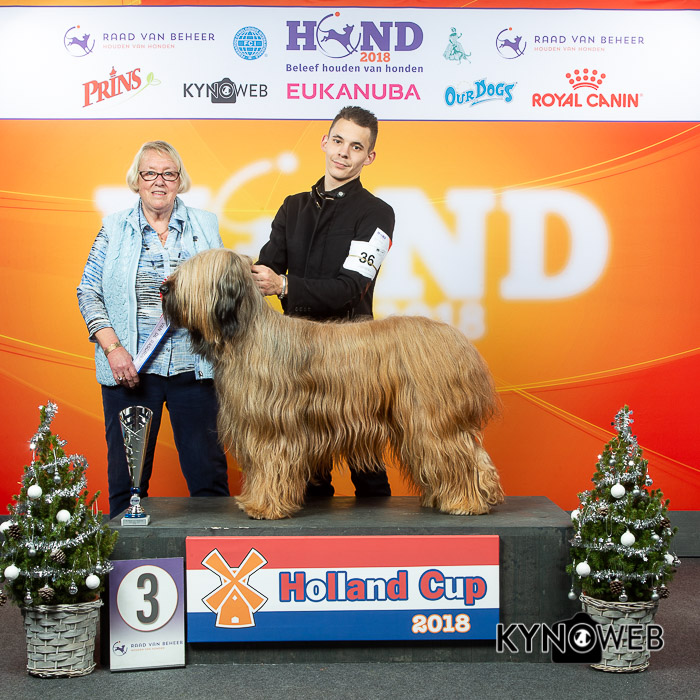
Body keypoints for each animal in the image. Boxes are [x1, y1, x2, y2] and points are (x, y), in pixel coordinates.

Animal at [161, 248, 504, 520]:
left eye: (189, 272)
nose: (163, 288)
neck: (245, 334)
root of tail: (456, 338)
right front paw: (255, 501)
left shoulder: (273, 427)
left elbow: (271, 464)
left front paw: (265, 507)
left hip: (431, 419)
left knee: (460, 454)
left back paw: (467, 501)